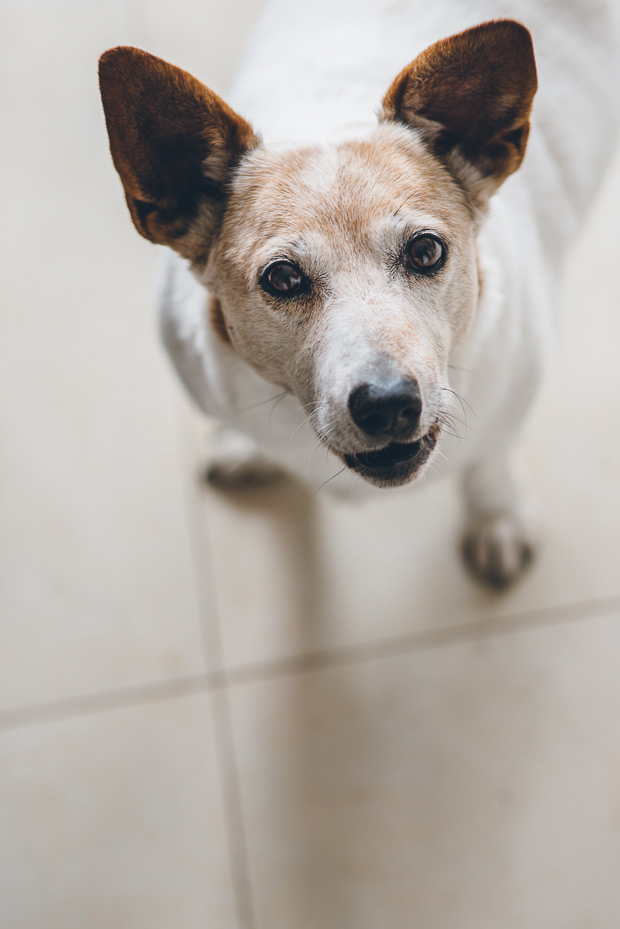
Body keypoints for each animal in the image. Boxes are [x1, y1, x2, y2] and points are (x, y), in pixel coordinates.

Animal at [99, 0, 616, 588]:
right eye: (282, 278)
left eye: (426, 251)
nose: (388, 405)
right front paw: (243, 446)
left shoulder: (515, 395)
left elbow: (492, 456)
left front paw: (496, 515)